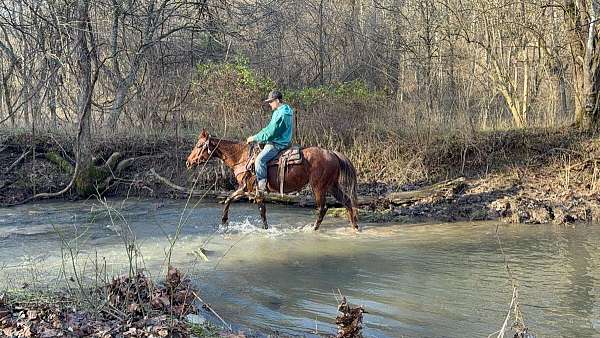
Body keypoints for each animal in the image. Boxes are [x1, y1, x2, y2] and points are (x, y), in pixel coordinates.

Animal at [185, 128, 358, 231]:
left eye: (199, 145)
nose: (188, 162)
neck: (241, 157)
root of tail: (332, 153)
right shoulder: (245, 189)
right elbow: (229, 199)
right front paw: (224, 221)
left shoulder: (254, 190)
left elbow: (262, 212)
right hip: (332, 186)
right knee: (347, 202)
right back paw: (355, 226)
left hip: (319, 187)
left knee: (323, 208)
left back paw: (314, 229)